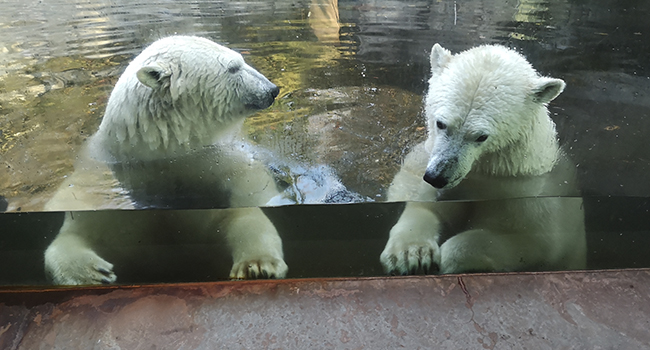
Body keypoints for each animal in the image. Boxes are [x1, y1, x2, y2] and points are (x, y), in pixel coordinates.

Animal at [44, 36, 288, 284]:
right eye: (233, 67)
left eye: (240, 60)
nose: (273, 90)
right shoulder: (96, 188)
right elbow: (75, 232)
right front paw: (93, 273)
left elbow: (243, 214)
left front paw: (257, 265)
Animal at [380, 43, 588, 274]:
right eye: (441, 123)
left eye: (481, 136)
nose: (438, 177)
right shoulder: (425, 162)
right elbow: (420, 200)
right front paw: (409, 254)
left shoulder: (534, 197)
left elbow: (534, 241)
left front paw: (448, 260)